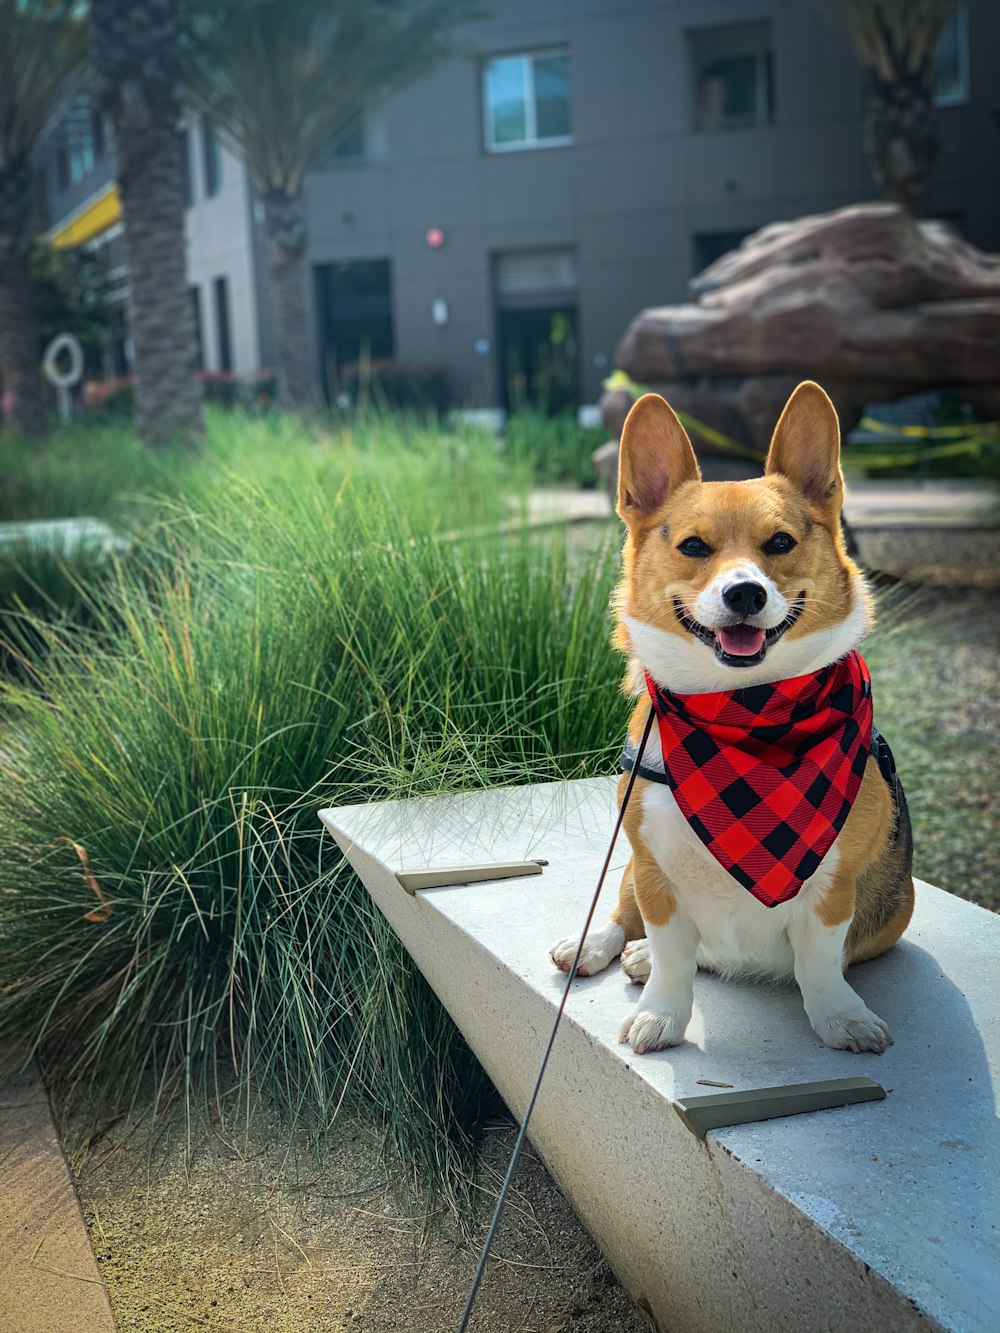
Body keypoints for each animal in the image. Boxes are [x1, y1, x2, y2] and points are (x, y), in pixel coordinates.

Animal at [552, 381, 922, 1055]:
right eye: (693, 546)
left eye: (780, 543)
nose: (745, 593)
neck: (742, 709)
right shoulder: (654, 869)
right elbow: (672, 956)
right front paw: (661, 1014)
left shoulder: (833, 888)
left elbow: (819, 964)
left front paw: (841, 1017)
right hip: (630, 862)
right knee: (621, 912)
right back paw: (597, 945)